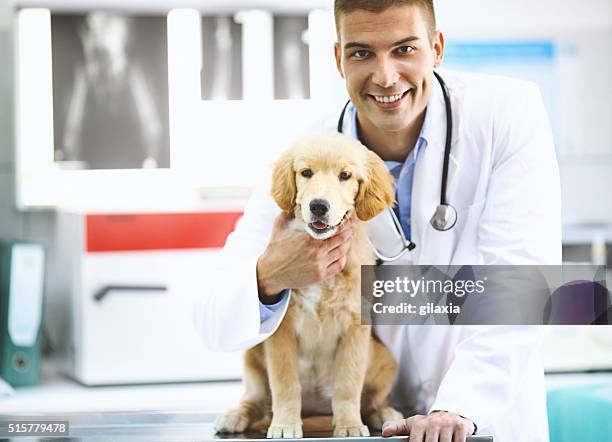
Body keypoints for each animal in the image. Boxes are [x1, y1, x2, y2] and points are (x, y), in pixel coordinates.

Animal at [215, 135, 402, 438]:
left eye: (345, 176)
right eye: (306, 173)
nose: (318, 206)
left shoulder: (355, 327)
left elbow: (348, 384)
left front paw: (349, 424)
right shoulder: (281, 333)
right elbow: (285, 384)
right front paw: (284, 425)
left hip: (384, 358)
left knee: (371, 400)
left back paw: (384, 413)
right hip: (252, 356)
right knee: (254, 400)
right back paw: (235, 415)